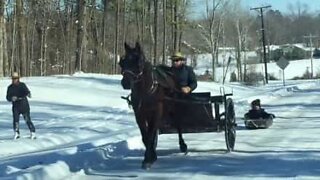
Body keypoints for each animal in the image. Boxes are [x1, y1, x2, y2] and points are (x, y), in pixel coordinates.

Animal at [119, 41, 188, 169]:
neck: (145, 91)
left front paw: (148, 159)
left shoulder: (156, 112)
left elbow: (150, 134)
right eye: (122, 62)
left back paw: (183, 145)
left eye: (139, 62)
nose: (125, 83)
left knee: (178, 124)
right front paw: (151, 157)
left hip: (173, 108)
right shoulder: (139, 114)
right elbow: (145, 136)